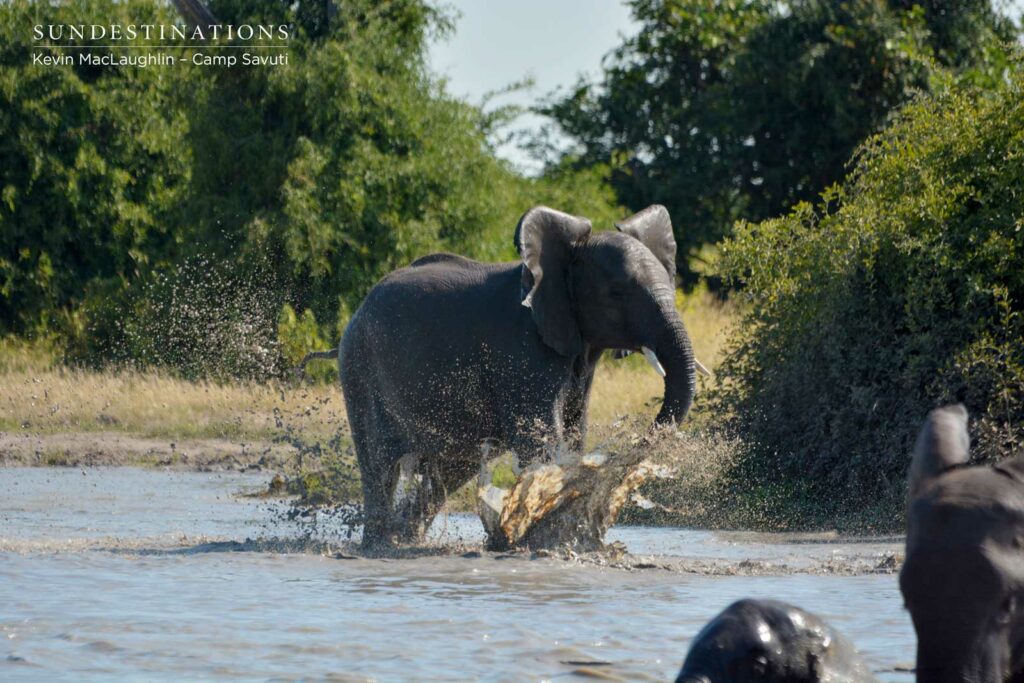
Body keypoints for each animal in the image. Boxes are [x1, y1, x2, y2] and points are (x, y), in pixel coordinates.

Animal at [337, 205, 699, 549]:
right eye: (617, 293)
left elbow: (573, 434)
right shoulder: (521, 347)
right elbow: (542, 441)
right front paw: (546, 536)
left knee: (449, 471)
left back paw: (404, 538)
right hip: (359, 368)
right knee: (379, 463)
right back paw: (381, 545)